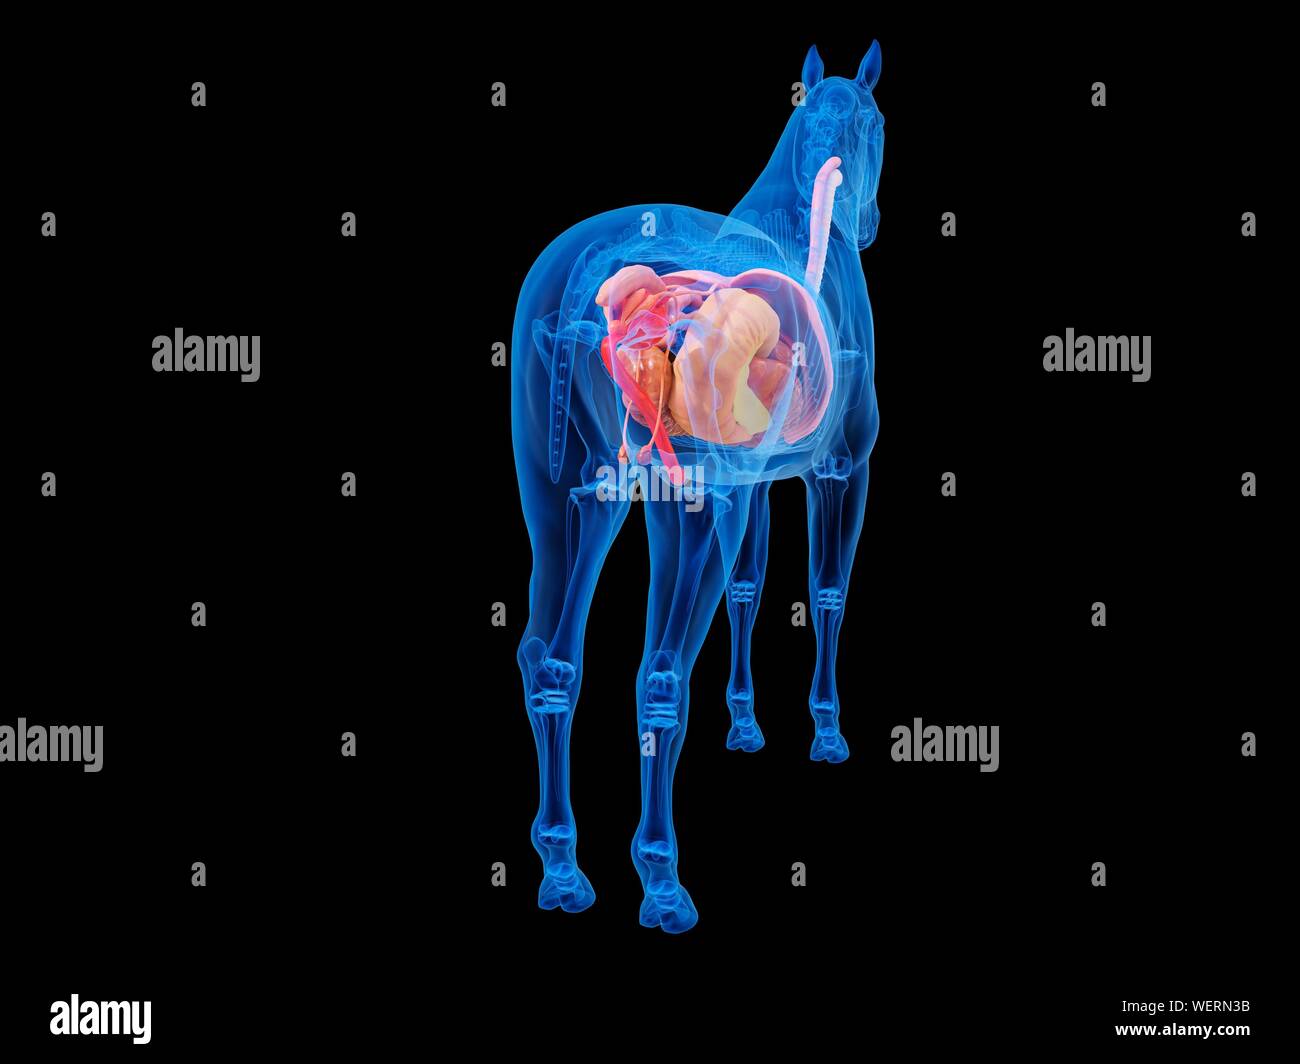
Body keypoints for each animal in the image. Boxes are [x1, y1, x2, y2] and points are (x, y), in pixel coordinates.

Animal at [510, 41, 884, 933]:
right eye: (879, 124)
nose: (867, 221)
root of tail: (584, 287)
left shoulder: (755, 484)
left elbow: (751, 585)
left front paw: (746, 725)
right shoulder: (838, 468)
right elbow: (826, 588)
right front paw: (825, 736)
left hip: (568, 484)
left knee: (549, 653)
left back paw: (562, 871)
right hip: (682, 495)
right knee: (657, 671)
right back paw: (663, 885)